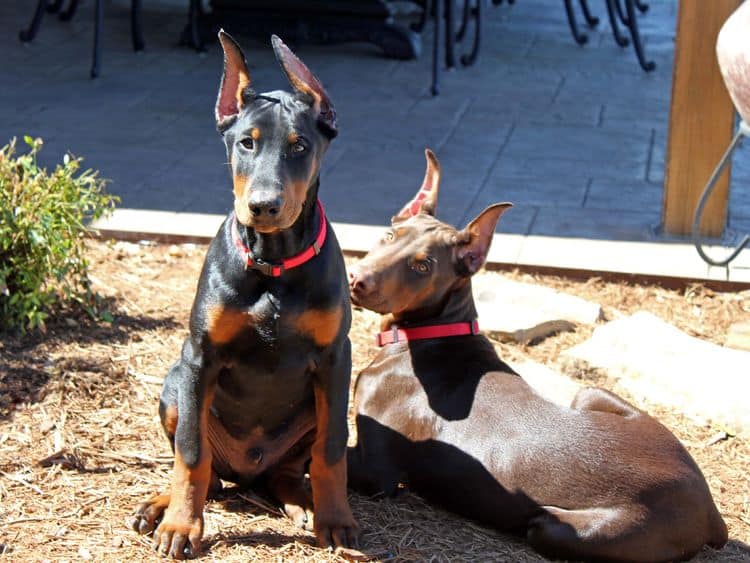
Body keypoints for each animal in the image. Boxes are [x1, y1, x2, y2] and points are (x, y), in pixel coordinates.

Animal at [129, 34, 358, 560]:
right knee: (206, 471)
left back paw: (303, 503)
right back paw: (160, 506)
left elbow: (332, 449)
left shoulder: (336, 358)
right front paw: (182, 526)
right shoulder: (200, 357)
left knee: (288, 471)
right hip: (175, 388)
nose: (263, 206)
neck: (272, 264)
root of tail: (245, 470)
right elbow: (191, 454)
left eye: (300, 146)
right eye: (246, 142)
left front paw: (336, 520)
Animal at [346, 151, 728, 563]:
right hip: (591, 394)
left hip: (558, 527)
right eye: (389, 236)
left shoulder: (377, 470)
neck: (433, 333)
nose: (356, 278)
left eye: (422, 266)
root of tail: (711, 512)